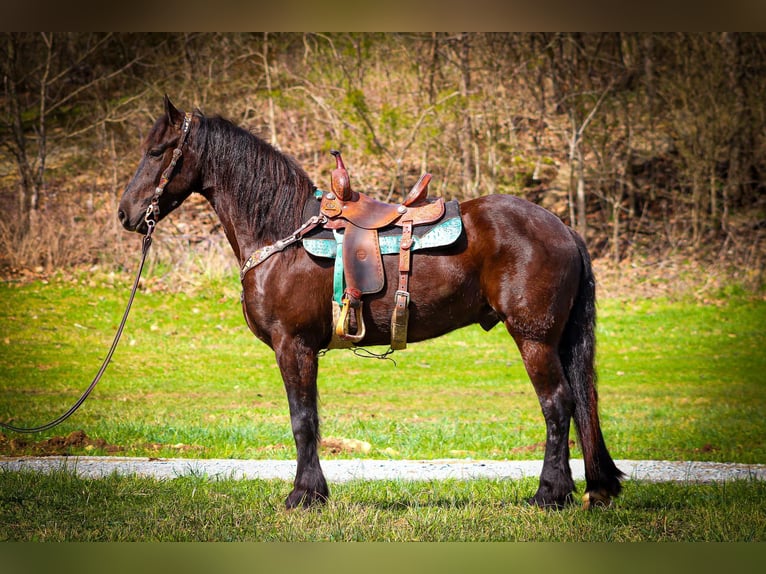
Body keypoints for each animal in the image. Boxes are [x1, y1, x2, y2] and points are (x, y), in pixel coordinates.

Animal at [118, 97, 624, 510]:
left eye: (157, 152)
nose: (126, 214)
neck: (282, 232)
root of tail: (562, 227)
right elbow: (309, 419)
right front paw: (313, 492)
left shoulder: (293, 345)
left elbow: (303, 419)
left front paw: (304, 495)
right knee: (574, 404)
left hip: (534, 338)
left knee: (557, 404)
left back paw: (549, 494)